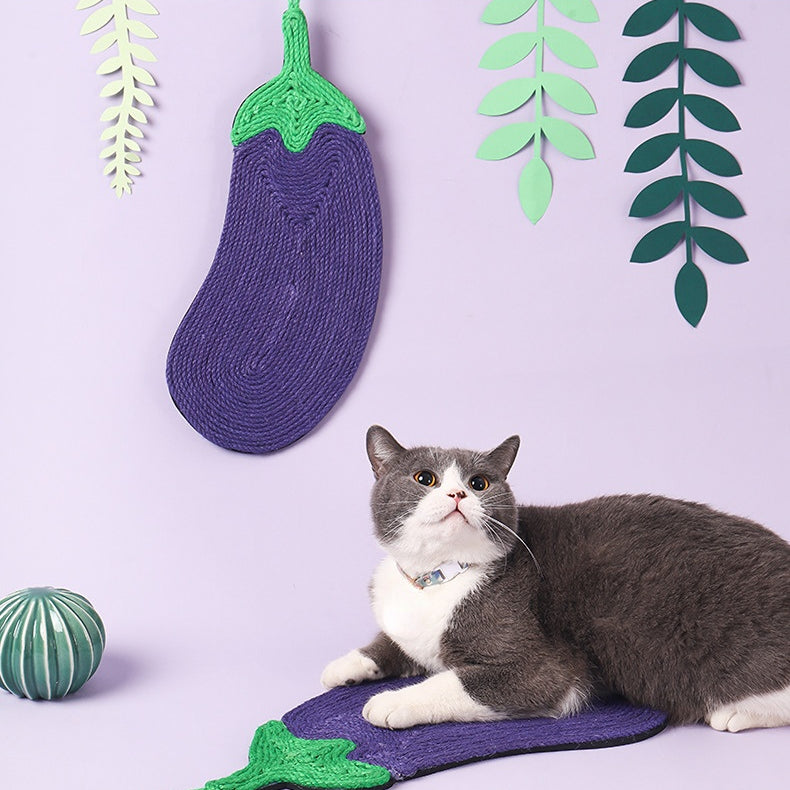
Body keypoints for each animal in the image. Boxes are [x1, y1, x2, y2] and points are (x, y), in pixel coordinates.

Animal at [322, 430, 790, 732]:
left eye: (480, 482)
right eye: (425, 478)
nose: (458, 495)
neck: (437, 577)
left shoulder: (545, 667)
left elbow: (455, 680)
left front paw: (391, 701)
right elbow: (391, 644)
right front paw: (343, 667)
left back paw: (737, 713)